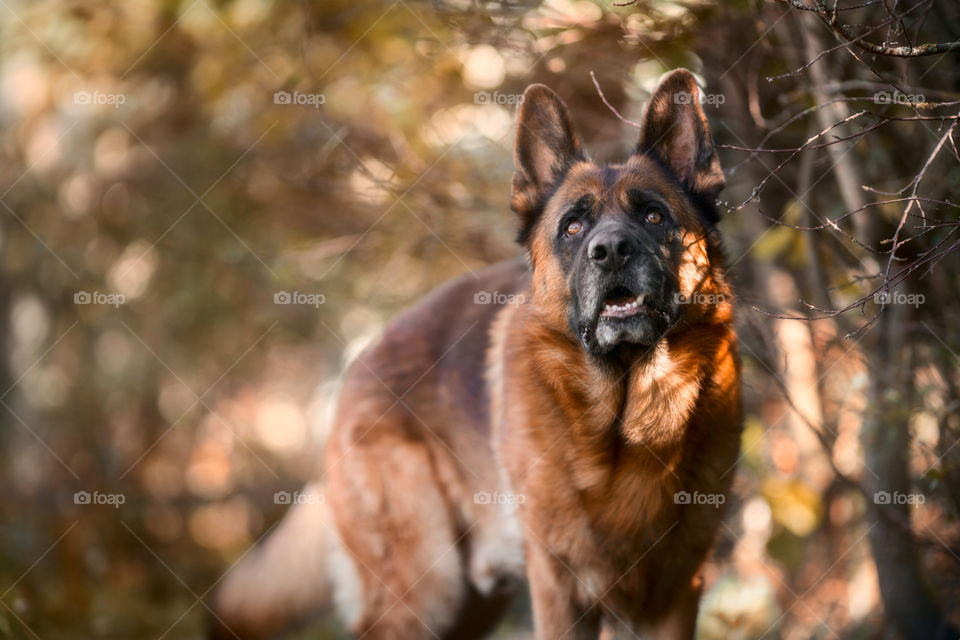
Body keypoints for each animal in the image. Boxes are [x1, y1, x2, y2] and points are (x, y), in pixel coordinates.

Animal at [216, 70, 744, 640]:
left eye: (653, 215)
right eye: (573, 227)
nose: (611, 252)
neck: (628, 423)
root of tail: (364, 358)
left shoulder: (675, 595)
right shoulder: (560, 591)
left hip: (470, 603)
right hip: (424, 590)